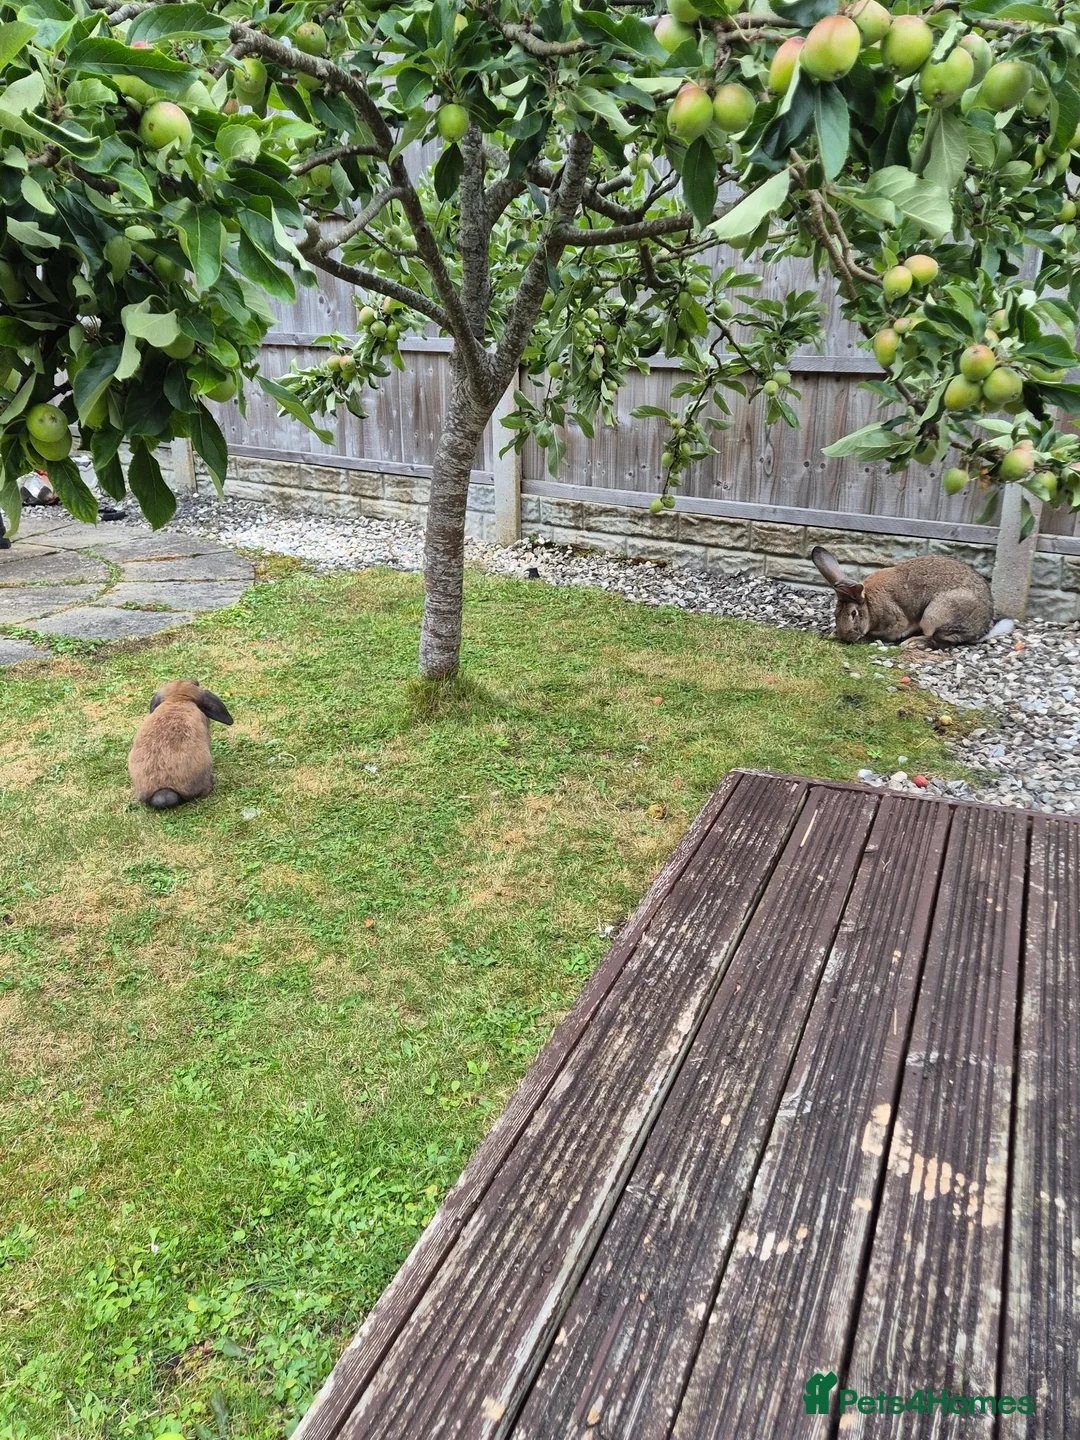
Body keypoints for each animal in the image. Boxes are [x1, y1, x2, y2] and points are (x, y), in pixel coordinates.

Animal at [811, 546, 1015, 649]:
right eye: (835, 613)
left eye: (854, 614)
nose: (846, 637)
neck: (868, 604)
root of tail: (982, 630)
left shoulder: (895, 622)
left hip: (936, 613)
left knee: (942, 641)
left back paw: (913, 643)